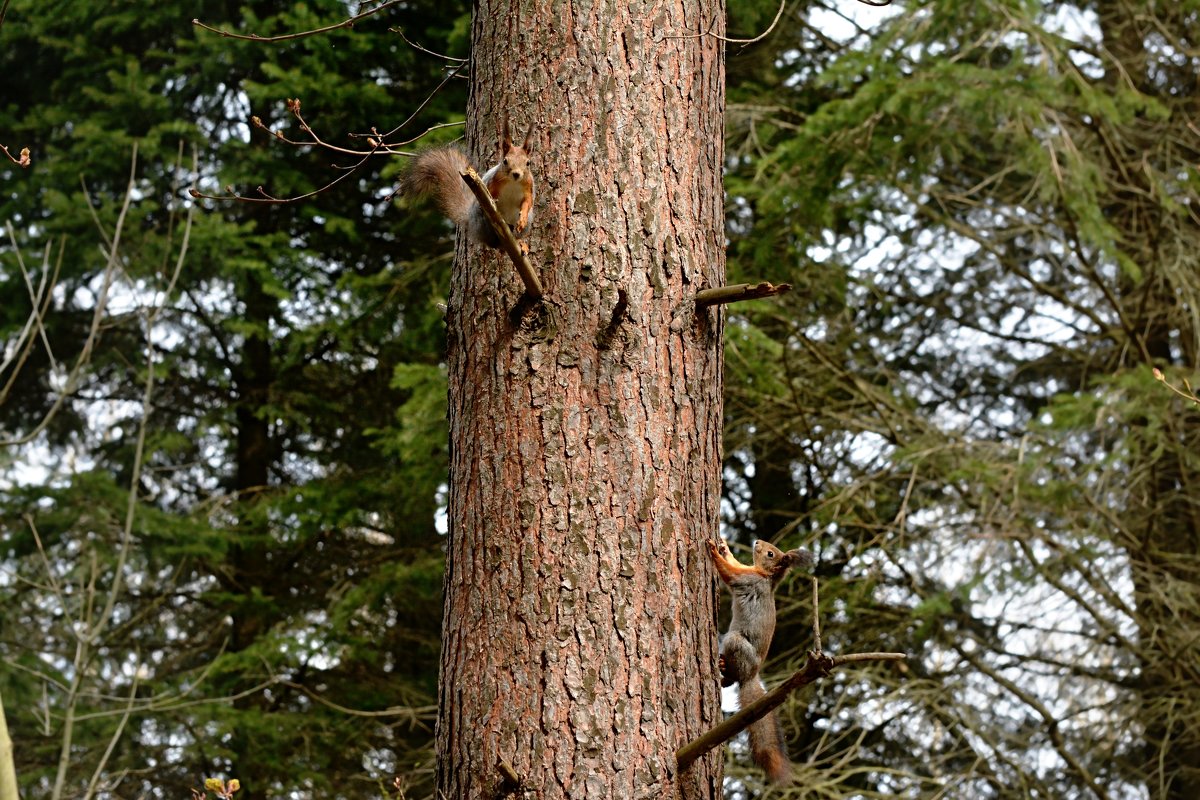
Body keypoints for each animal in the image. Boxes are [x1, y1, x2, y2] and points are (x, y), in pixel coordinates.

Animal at [403, 118, 535, 247]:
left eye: (528, 163)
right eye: (505, 161)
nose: (516, 174)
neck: (513, 182)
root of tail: (471, 220)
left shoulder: (529, 187)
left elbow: (528, 202)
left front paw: (522, 219)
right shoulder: (492, 182)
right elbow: (490, 195)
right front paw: (494, 202)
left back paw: (520, 242)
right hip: (482, 220)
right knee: (492, 241)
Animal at [705, 537, 811, 782]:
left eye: (771, 554)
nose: (757, 541)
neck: (763, 575)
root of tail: (752, 674)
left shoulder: (747, 580)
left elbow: (730, 573)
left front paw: (714, 552)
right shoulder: (748, 571)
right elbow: (735, 563)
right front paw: (724, 547)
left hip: (736, 642)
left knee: (735, 676)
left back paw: (726, 670)